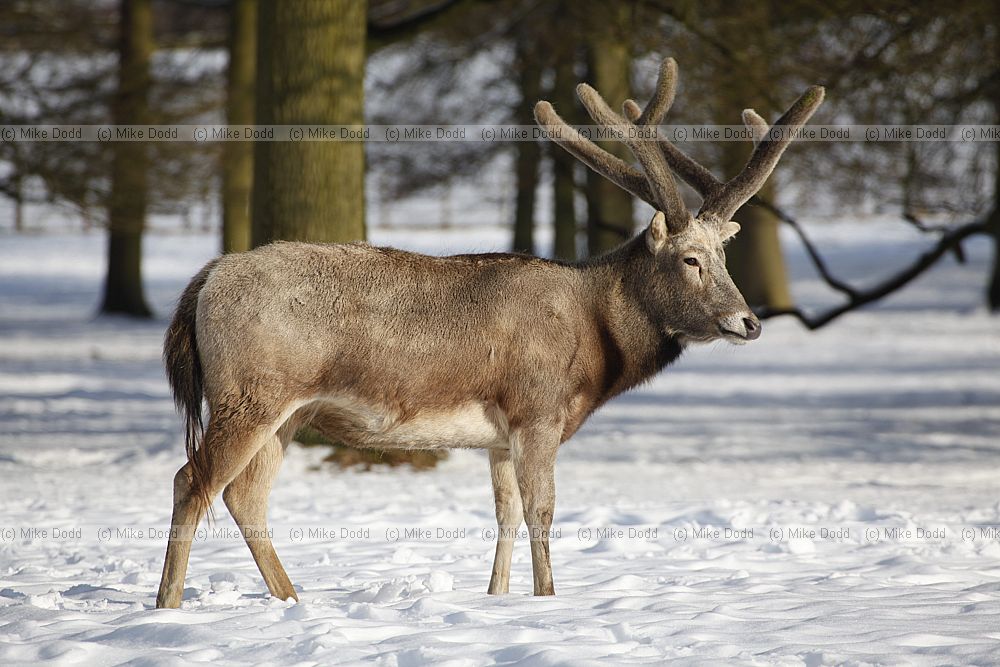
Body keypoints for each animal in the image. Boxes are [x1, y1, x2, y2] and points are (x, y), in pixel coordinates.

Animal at [155, 57, 823, 608]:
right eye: (689, 259)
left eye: (724, 256)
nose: (748, 321)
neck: (594, 344)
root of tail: (204, 282)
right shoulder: (537, 408)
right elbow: (542, 511)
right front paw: (547, 599)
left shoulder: (499, 435)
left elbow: (504, 513)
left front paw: (496, 598)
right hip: (252, 392)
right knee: (193, 480)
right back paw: (170, 605)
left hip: (287, 410)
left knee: (244, 496)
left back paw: (292, 601)